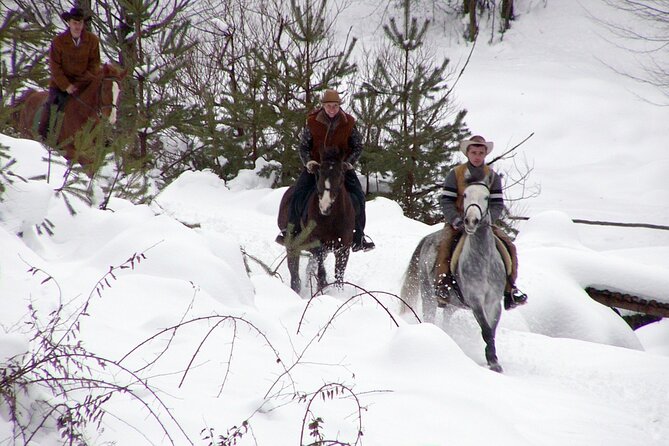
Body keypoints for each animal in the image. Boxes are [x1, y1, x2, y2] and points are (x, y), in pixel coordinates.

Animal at [277, 147, 356, 294]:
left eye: (341, 173)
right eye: (319, 173)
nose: (325, 205)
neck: (331, 218)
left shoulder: (343, 249)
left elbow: (339, 275)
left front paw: (338, 293)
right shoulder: (318, 245)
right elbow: (321, 272)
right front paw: (322, 288)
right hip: (292, 245)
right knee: (294, 271)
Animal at [400, 173, 506, 372]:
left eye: (486, 197)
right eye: (465, 195)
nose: (471, 221)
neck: (483, 261)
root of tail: (426, 239)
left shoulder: (494, 302)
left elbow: (492, 330)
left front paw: (494, 360)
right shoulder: (475, 301)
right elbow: (486, 330)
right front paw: (492, 361)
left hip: (451, 305)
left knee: (446, 320)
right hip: (428, 294)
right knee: (430, 317)